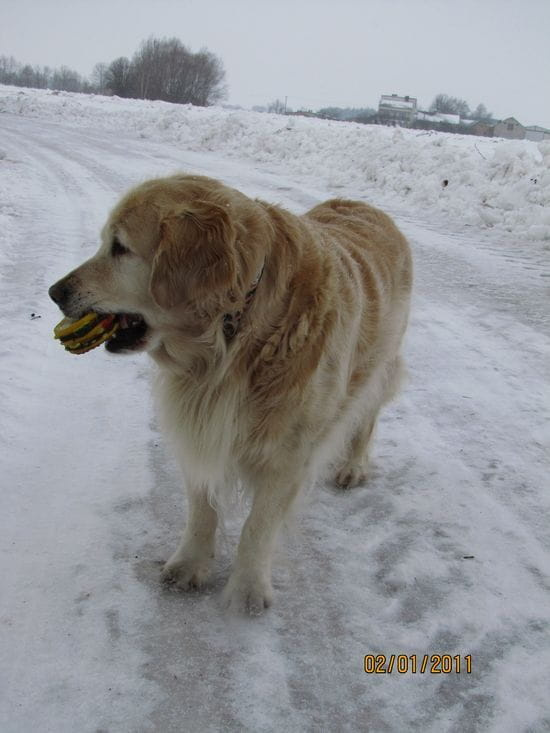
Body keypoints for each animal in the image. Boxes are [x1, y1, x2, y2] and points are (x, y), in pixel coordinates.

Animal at [49, 174, 414, 616]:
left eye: (120, 247)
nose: (54, 292)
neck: (234, 334)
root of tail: (367, 206)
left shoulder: (288, 455)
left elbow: (258, 527)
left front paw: (247, 590)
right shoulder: (200, 430)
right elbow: (201, 509)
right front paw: (190, 564)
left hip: (381, 362)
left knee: (367, 414)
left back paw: (354, 466)